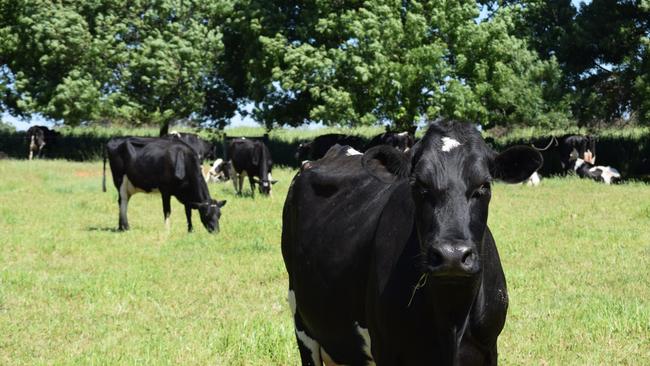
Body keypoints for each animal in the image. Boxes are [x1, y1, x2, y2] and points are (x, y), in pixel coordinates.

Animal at [280, 121, 540, 366]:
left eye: (484, 185)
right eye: (419, 185)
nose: (452, 256)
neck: (452, 319)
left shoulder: (488, 349)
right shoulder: (386, 349)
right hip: (302, 322)